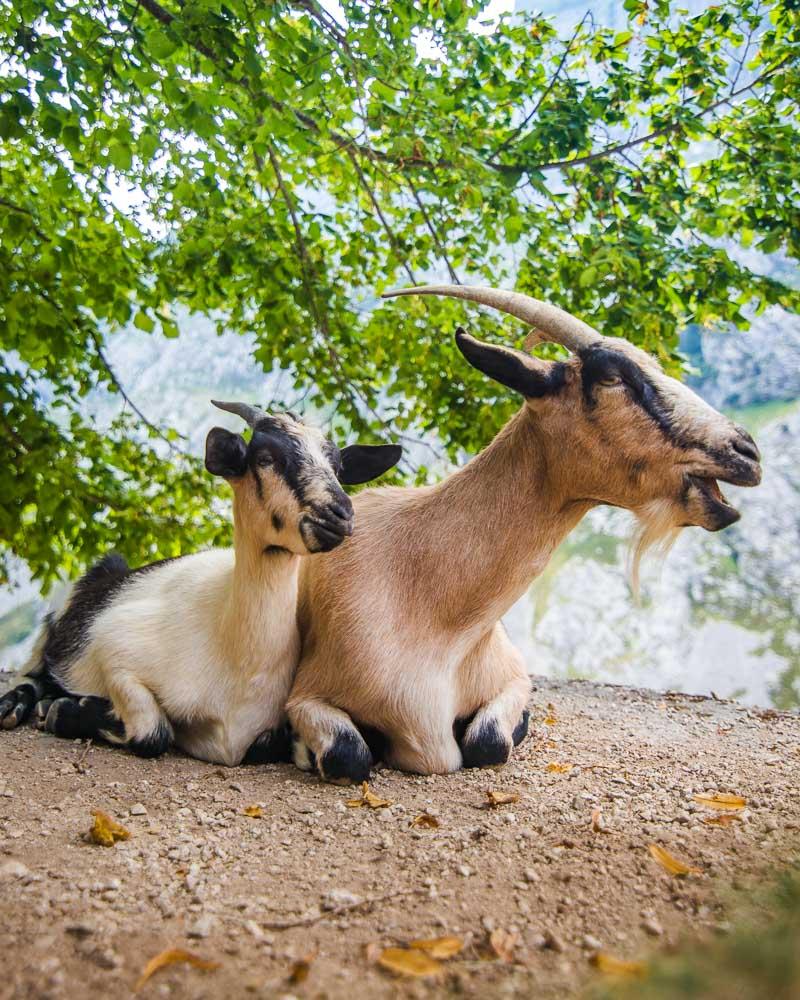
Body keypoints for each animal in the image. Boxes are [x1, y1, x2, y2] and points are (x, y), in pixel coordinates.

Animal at [0, 402, 400, 768]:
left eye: (338, 467)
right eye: (265, 458)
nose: (339, 515)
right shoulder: (114, 646)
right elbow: (153, 731)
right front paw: (66, 710)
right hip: (59, 617)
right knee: (32, 671)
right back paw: (19, 705)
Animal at [284, 284, 760, 780]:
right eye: (612, 377)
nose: (746, 451)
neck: (430, 607)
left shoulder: (512, 676)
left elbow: (489, 741)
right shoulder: (307, 693)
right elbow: (348, 754)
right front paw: (301, 748)